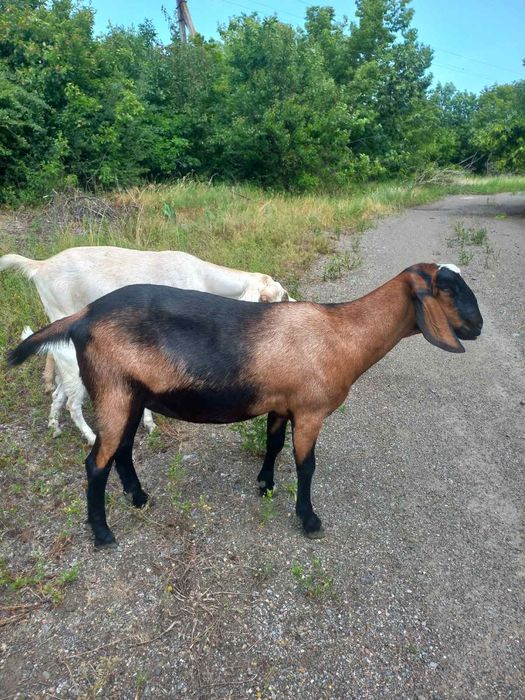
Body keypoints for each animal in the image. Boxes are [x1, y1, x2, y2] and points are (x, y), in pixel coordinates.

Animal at [1, 246, 292, 444]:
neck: (201, 279)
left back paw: (54, 418)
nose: (295, 306)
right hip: (61, 311)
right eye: (281, 295)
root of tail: (40, 265)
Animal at [8, 263, 483, 548]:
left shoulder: (281, 404)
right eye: (448, 287)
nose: (477, 326)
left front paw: (265, 485)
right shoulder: (310, 411)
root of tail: (83, 316)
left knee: (121, 450)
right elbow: (307, 465)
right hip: (113, 391)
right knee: (96, 463)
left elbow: (273, 446)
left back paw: (139, 498)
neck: (342, 332)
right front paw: (309, 520)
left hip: (130, 395)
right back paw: (104, 533)